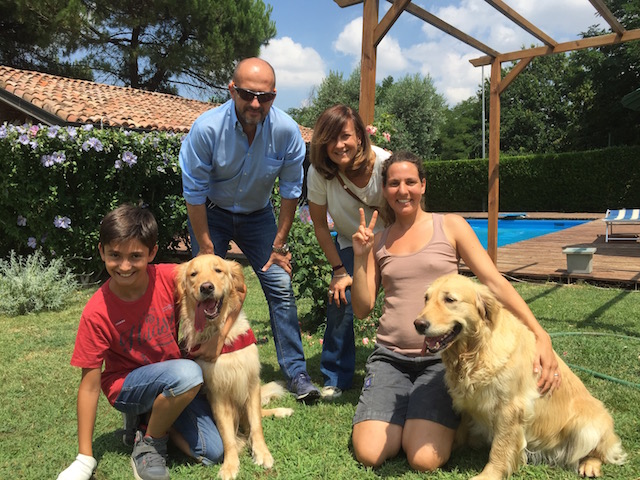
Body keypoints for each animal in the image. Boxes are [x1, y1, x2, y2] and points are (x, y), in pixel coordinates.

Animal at [177, 254, 293, 480]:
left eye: (218, 270)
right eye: (193, 274)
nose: (206, 287)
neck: (221, 336)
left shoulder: (251, 383)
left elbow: (257, 426)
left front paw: (262, 453)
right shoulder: (218, 394)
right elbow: (227, 435)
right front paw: (230, 465)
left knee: (259, 414)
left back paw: (282, 411)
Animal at [413, 273, 626, 480]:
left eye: (449, 299)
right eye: (426, 299)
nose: (418, 324)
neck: (474, 352)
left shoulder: (510, 408)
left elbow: (500, 448)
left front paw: (489, 475)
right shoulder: (467, 404)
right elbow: (461, 432)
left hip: (586, 426)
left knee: (601, 451)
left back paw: (590, 464)